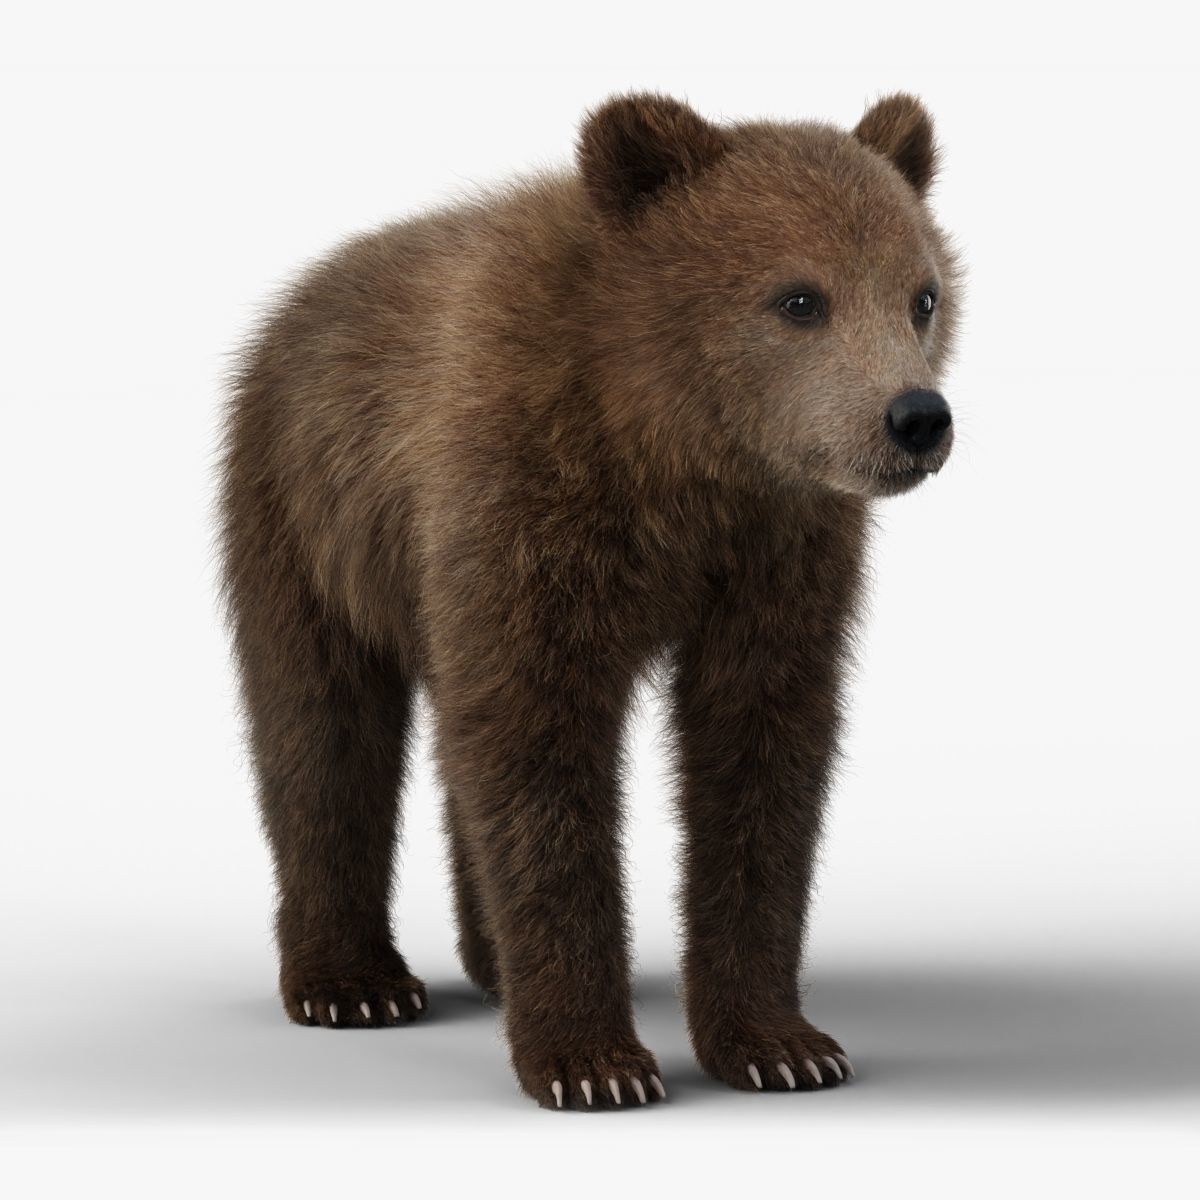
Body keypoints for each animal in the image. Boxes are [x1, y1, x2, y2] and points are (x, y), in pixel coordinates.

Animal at [219, 91, 959, 1110]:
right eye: (799, 298)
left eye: (921, 294)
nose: (916, 417)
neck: (674, 447)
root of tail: (292, 300)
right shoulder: (526, 503)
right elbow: (540, 754)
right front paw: (594, 1063)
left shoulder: (777, 554)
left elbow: (763, 753)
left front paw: (781, 1045)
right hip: (306, 521)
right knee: (322, 731)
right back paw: (354, 984)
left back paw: (486, 961)